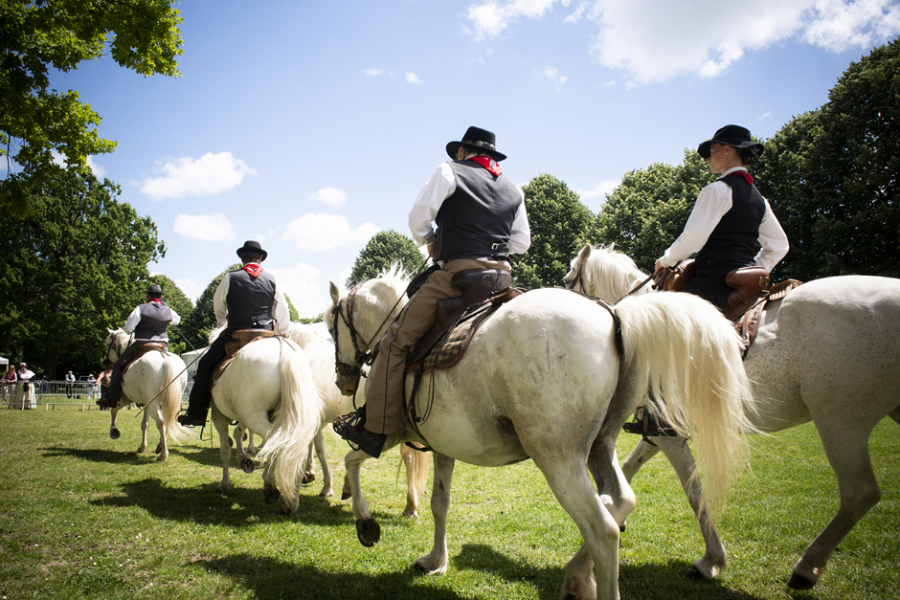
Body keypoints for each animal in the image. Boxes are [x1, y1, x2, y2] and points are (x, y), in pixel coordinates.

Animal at [102, 330, 190, 462]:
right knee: (169, 420)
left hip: (153, 402)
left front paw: (114, 430)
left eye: (108, 344)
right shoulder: (146, 403)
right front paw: (142, 447)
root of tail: (164, 358)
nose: (105, 362)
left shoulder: (123, 398)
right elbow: (145, 424)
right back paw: (160, 447)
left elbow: (114, 410)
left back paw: (163, 454)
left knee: (161, 422)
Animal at [206, 326, 326, 512]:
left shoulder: (219, 416)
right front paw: (243, 457)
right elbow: (238, 433)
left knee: (276, 442)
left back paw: (271, 486)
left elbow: (225, 449)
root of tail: (283, 348)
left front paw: (225, 484)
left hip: (254, 416)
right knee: (295, 445)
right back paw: (294, 495)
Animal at [326, 268, 756, 600]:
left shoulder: (388, 432)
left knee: (603, 528)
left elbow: (351, 459)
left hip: (558, 459)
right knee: (620, 501)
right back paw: (581, 572)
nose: (343, 379)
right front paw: (435, 560)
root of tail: (615, 315)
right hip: (599, 448)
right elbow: (439, 503)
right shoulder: (443, 446)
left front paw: (365, 521)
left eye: (331, 328)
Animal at [568, 245, 900, 592]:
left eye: (568, 279)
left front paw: (710, 559)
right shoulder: (660, 432)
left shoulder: (666, 433)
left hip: (841, 421)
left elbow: (693, 490)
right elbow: (631, 467)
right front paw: (616, 518)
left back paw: (807, 567)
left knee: (860, 493)